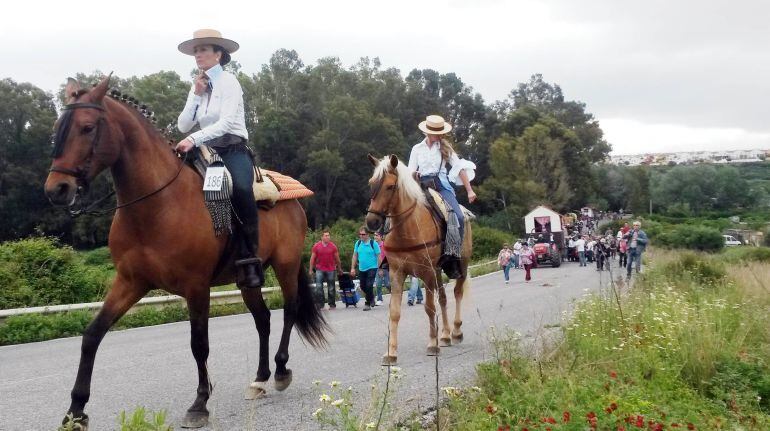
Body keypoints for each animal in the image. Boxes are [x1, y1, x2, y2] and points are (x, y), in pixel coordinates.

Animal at [44, 76, 328, 430]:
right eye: (58, 127)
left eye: (87, 127)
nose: (56, 188)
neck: (157, 204)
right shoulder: (130, 282)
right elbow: (92, 335)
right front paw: (76, 411)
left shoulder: (196, 287)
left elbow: (199, 344)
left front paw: (200, 404)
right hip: (248, 278)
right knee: (262, 318)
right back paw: (259, 380)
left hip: (286, 265)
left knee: (289, 310)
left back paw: (279, 371)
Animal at [364, 155, 472, 364]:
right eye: (371, 184)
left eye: (390, 186)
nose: (371, 222)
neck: (408, 228)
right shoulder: (397, 273)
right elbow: (395, 313)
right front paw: (391, 352)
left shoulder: (427, 271)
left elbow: (429, 308)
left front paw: (432, 344)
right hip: (438, 271)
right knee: (444, 298)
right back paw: (445, 335)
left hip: (461, 264)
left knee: (457, 293)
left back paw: (456, 331)